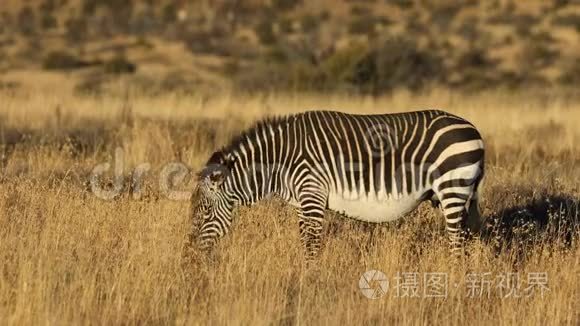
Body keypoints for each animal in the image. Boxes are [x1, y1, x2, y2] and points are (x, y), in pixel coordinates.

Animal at [191, 109, 484, 260]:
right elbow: (305, 242)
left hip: (452, 189)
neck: (280, 161)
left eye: (204, 212)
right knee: (470, 237)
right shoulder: (302, 202)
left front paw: (310, 284)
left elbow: (312, 245)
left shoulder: (312, 194)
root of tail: (473, 128)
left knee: (457, 241)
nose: (190, 255)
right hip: (460, 196)